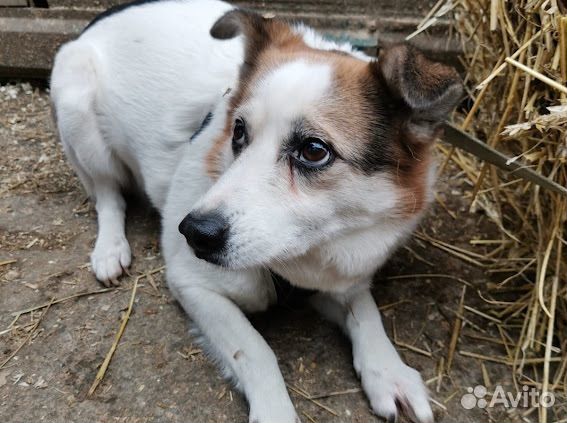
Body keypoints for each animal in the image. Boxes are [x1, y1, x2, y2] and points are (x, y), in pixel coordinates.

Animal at [51, 1, 464, 422]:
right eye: (238, 132)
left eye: (314, 150)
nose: (194, 232)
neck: (303, 257)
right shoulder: (192, 284)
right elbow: (254, 350)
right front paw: (275, 410)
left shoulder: (344, 278)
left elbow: (366, 312)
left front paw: (388, 370)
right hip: (79, 110)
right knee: (108, 195)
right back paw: (110, 248)